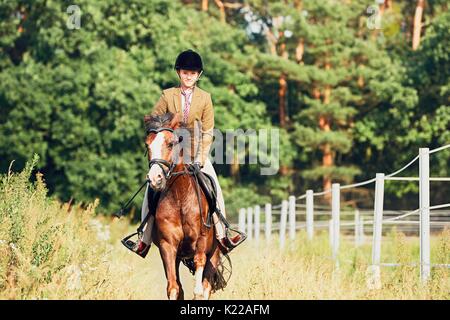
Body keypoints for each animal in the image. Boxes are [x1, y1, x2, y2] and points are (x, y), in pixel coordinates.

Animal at [144, 111, 225, 298]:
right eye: (147, 145)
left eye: (170, 143)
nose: (155, 178)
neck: (180, 197)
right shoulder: (168, 246)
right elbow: (174, 288)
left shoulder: (201, 243)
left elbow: (199, 290)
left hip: (215, 252)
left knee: (207, 285)